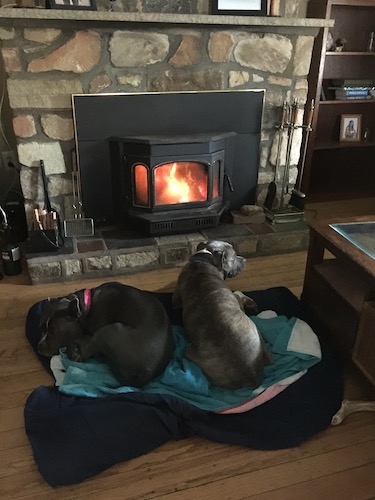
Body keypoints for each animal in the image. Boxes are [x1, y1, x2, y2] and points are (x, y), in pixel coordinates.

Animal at [38, 282, 173, 386]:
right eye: (41, 328)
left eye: (55, 331)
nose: (39, 347)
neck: (85, 307)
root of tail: (143, 376)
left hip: (110, 330)